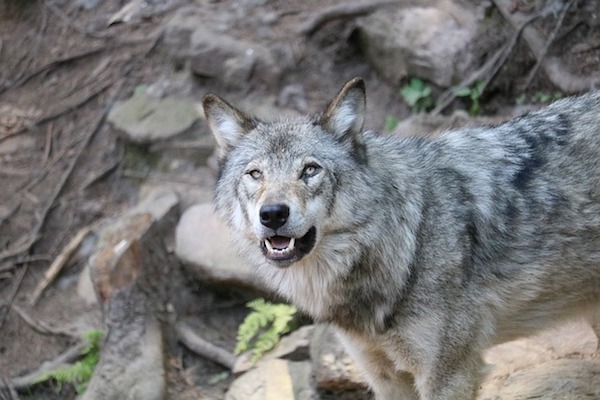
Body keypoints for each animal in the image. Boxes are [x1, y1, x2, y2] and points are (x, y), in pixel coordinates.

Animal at [204, 79, 600, 400]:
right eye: (255, 174)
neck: (408, 240)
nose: (272, 214)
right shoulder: (385, 377)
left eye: (310, 170)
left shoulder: (450, 374)